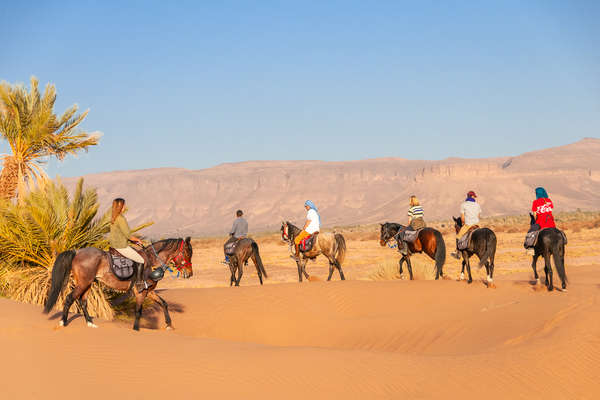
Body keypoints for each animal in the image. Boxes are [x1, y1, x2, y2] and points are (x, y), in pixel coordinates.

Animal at [44, 238, 195, 332]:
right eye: (187, 253)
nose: (190, 273)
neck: (151, 261)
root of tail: (77, 251)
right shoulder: (141, 292)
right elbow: (138, 311)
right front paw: (136, 329)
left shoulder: (150, 291)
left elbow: (164, 303)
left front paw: (169, 325)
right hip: (83, 283)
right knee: (70, 298)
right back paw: (63, 322)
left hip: (88, 283)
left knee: (83, 301)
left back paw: (91, 323)